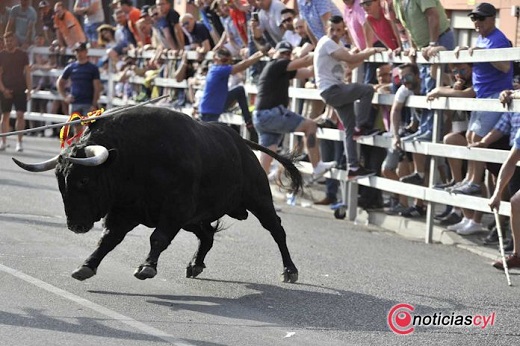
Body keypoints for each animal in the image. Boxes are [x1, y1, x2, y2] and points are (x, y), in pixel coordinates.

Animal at [11, 107, 304, 282]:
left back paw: (290, 270)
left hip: (259, 200)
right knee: (207, 235)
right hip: (195, 218)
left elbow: (158, 238)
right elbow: (107, 240)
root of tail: (241, 142)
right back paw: (195, 265)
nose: (75, 225)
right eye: (60, 182)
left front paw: (147, 267)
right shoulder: (124, 212)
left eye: (84, 180)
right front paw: (86, 266)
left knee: (277, 230)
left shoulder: (174, 210)